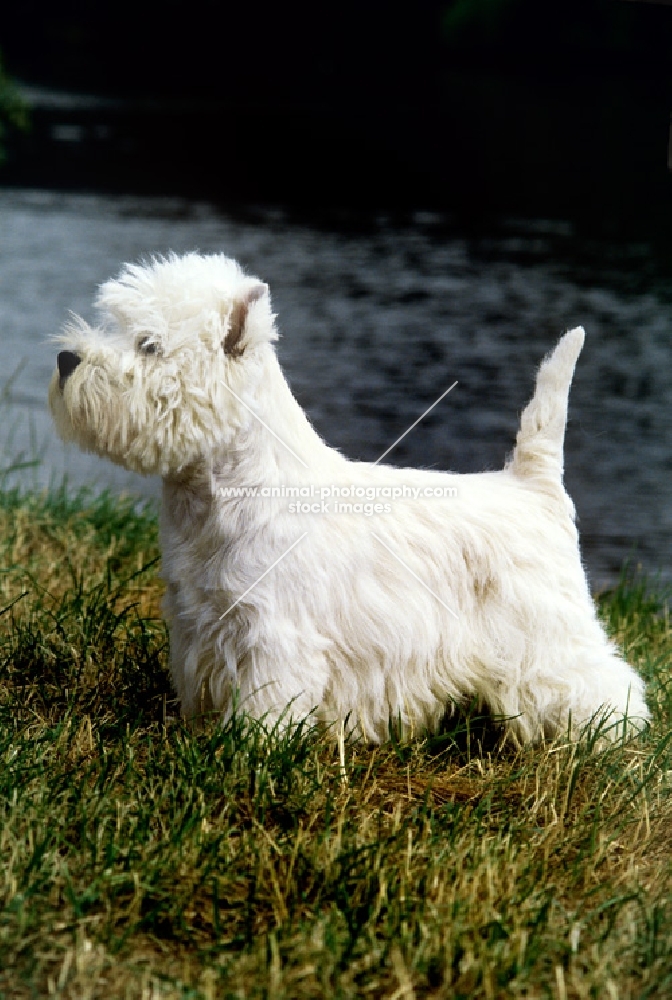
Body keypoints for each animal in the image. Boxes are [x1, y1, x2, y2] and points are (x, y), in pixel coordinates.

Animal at [50, 254, 648, 744]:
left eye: (148, 345)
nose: (64, 359)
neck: (218, 492)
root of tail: (531, 483)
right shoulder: (194, 620)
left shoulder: (273, 634)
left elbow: (265, 708)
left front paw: (247, 752)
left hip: (548, 630)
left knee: (605, 683)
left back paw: (613, 744)